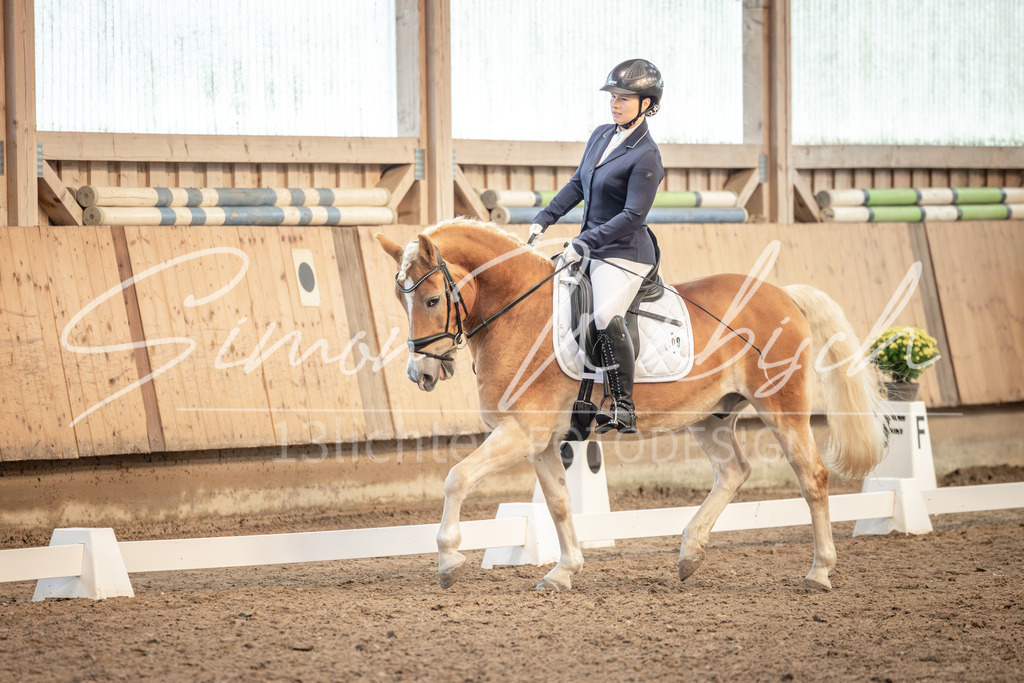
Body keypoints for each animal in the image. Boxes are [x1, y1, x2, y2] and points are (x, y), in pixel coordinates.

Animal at [374, 218, 886, 592]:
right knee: (734, 472)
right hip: (710, 416)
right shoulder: (540, 441)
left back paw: (819, 571)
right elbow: (559, 504)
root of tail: (783, 295)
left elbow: (456, 478)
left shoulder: (521, 431)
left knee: (812, 476)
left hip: (781, 407)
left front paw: (448, 560)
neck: (519, 313)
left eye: (432, 299)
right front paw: (563, 571)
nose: (420, 374)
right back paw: (689, 554)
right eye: (402, 301)